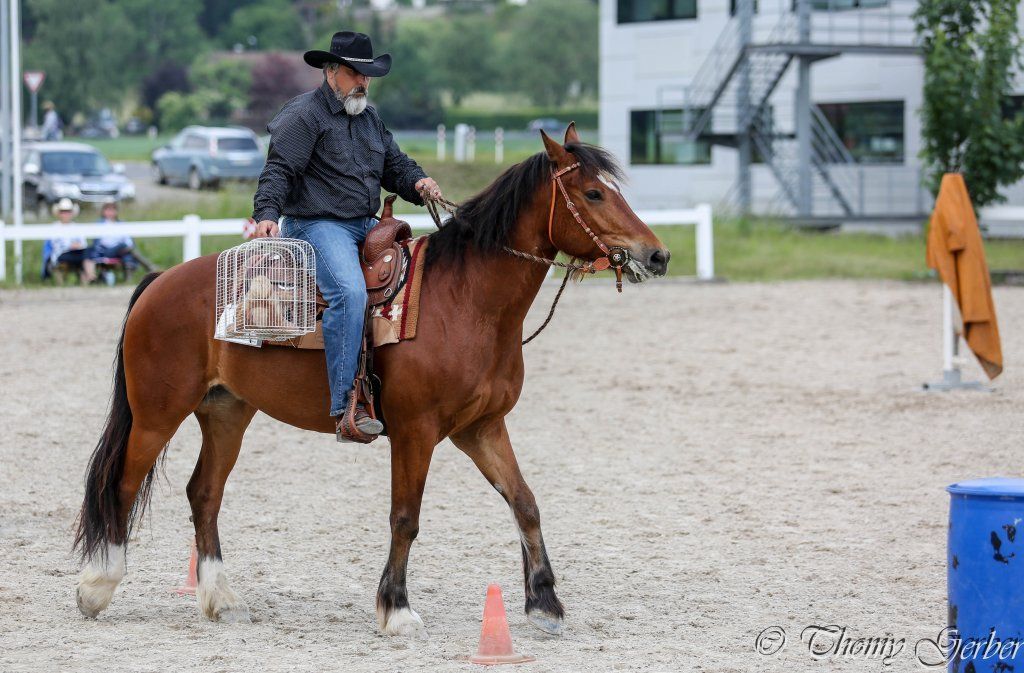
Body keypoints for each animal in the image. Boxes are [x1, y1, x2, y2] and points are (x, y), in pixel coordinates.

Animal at [73, 123, 670, 636]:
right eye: (593, 193)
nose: (657, 254)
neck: (467, 302)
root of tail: (160, 282)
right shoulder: (415, 432)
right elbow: (405, 518)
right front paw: (397, 609)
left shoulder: (481, 428)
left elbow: (525, 502)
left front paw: (545, 603)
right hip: (157, 414)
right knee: (121, 485)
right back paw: (97, 587)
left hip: (226, 412)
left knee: (204, 494)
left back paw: (221, 599)